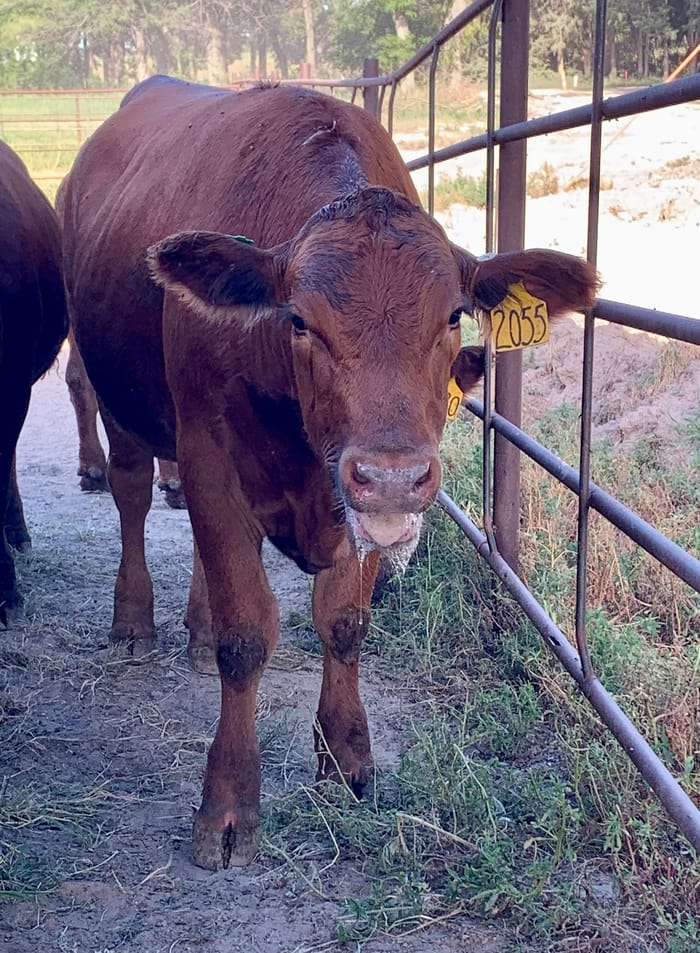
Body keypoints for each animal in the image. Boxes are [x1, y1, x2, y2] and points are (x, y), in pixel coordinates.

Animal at [59, 76, 598, 870]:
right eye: (299, 320)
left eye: (452, 316)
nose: (394, 474)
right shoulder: (210, 457)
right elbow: (246, 633)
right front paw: (227, 802)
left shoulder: (354, 505)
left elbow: (342, 622)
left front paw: (346, 757)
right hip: (118, 393)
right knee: (130, 492)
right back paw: (133, 620)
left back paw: (192, 628)